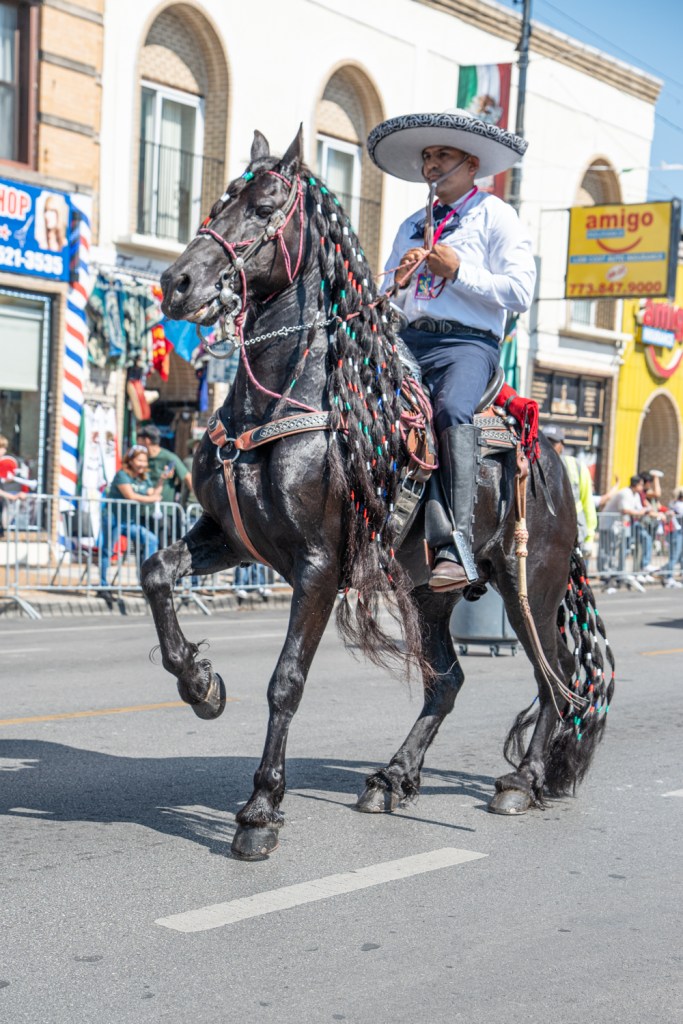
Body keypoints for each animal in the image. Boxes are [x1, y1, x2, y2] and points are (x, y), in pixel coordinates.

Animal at [144, 126, 614, 860]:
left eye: (265, 206)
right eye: (221, 201)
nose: (177, 282)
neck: (289, 399)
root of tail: (557, 459)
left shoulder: (315, 567)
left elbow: (286, 681)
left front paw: (260, 810)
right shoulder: (229, 537)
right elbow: (156, 571)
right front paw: (201, 684)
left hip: (528, 584)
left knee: (554, 676)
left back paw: (522, 781)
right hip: (429, 592)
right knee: (448, 681)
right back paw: (393, 778)